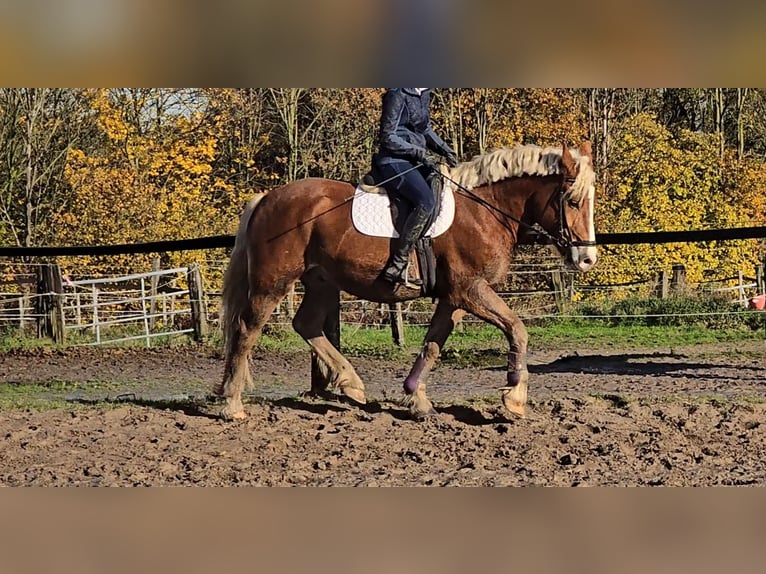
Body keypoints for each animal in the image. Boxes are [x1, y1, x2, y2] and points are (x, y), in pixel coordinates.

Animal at [216, 143, 600, 424]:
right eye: (572, 201)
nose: (587, 258)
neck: (485, 210)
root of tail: (267, 197)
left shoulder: (454, 298)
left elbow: (432, 345)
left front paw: (417, 399)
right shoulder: (470, 289)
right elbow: (517, 328)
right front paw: (515, 398)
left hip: (322, 281)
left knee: (306, 324)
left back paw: (351, 384)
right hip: (272, 281)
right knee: (247, 330)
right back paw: (233, 404)